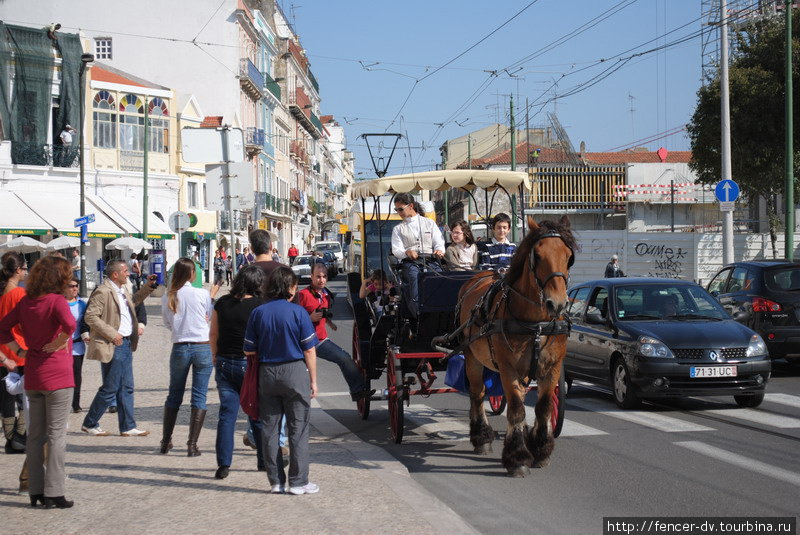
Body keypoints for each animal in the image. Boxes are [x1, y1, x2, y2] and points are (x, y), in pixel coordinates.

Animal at [456, 216, 576, 476]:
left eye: (569, 255)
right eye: (537, 255)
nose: (557, 304)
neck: (536, 325)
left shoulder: (551, 368)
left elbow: (543, 407)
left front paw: (540, 449)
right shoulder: (508, 368)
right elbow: (516, 409)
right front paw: (518, 457)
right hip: (472, 356)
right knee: (478, 393)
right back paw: (481, 437)